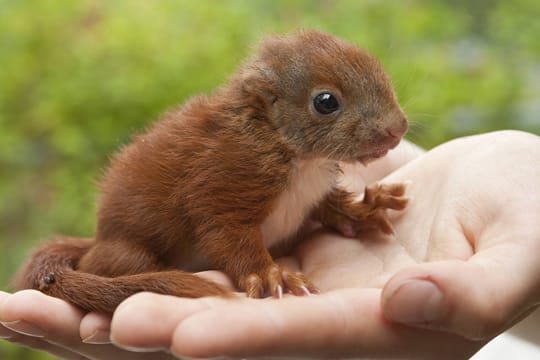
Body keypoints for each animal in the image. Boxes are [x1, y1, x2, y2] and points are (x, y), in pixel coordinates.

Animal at [12, 29, 410, 314]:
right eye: (325, 102)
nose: (398, 129)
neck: (300, 158)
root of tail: (97, 240)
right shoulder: (224, 176)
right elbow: (226, 232)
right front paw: (269, 274)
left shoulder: (313, 189)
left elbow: (328, 204)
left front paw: (363, 210)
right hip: (129, 254)